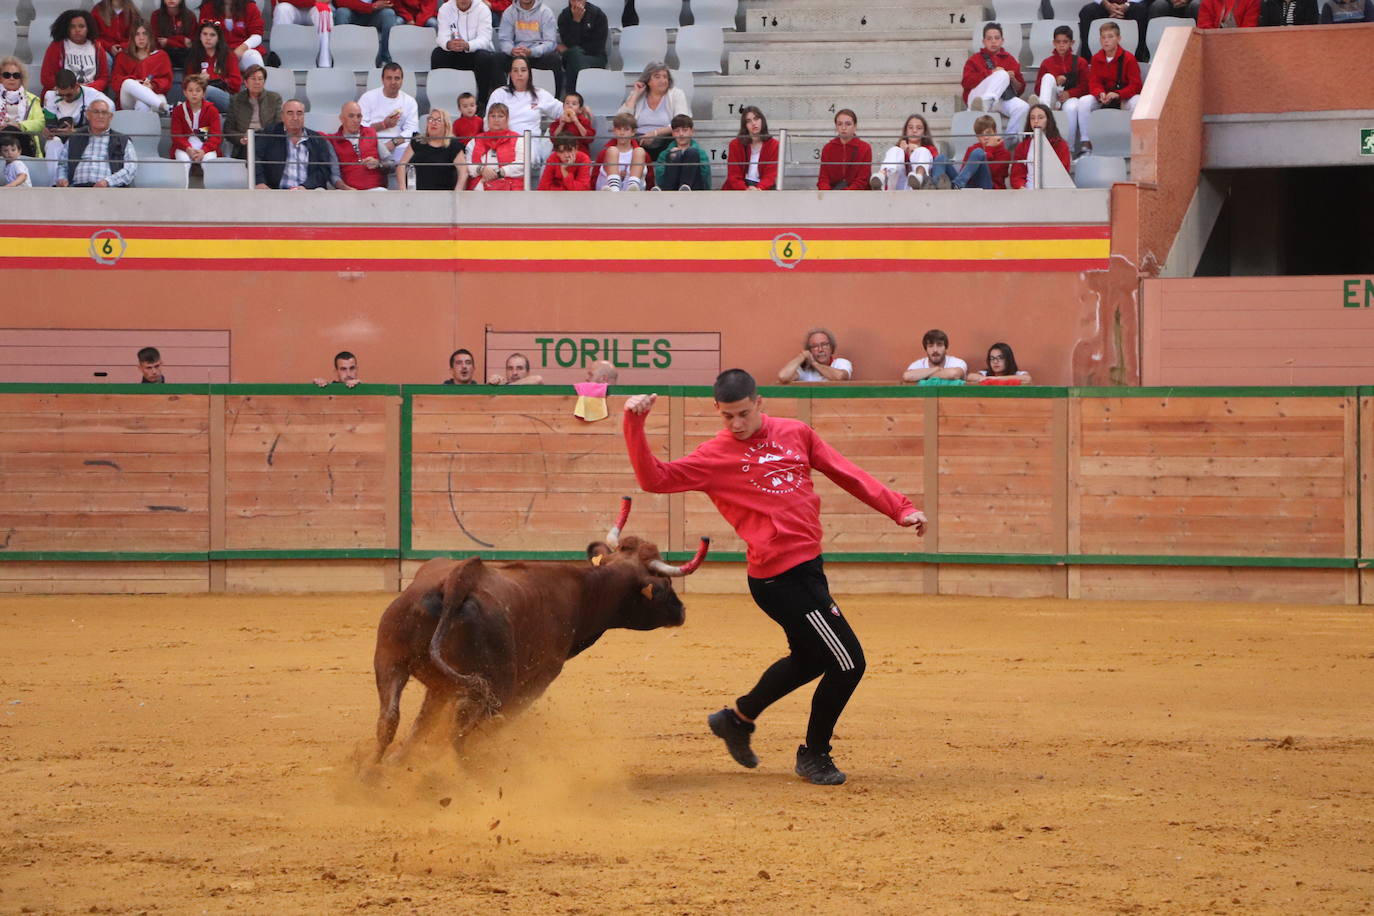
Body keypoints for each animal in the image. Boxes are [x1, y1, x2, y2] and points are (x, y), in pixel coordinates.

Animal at [370, 497, 708, 763]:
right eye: (665, 585)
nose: (681, 611)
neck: (584, 590)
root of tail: (457, 582)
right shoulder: (539, 679)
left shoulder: (440, 687)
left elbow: (423, 723)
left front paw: (401, 759)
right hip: (495, 686)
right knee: (460, 735)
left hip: (389, 659)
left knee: (389, 717)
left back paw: (370, 775)